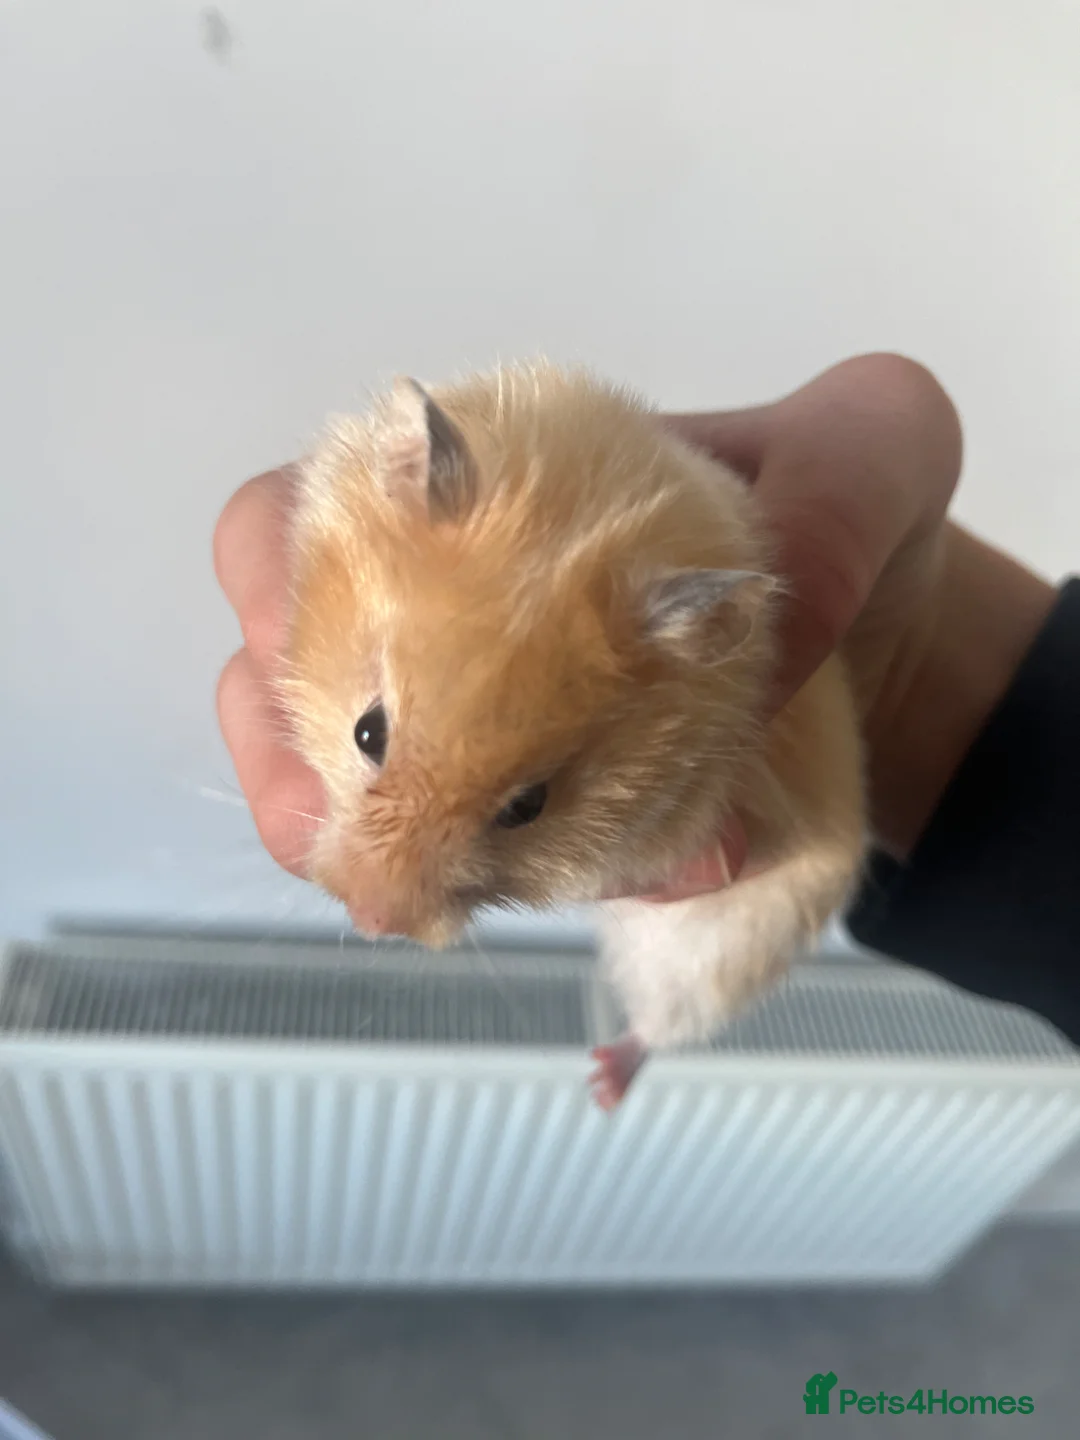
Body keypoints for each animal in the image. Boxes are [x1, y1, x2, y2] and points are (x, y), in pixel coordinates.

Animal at [280, 364, 866, 1106]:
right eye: (367, 732)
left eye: (528, 807)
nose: (371, 922)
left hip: (726, 950)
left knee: (664, 1025)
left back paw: (601, 1085)